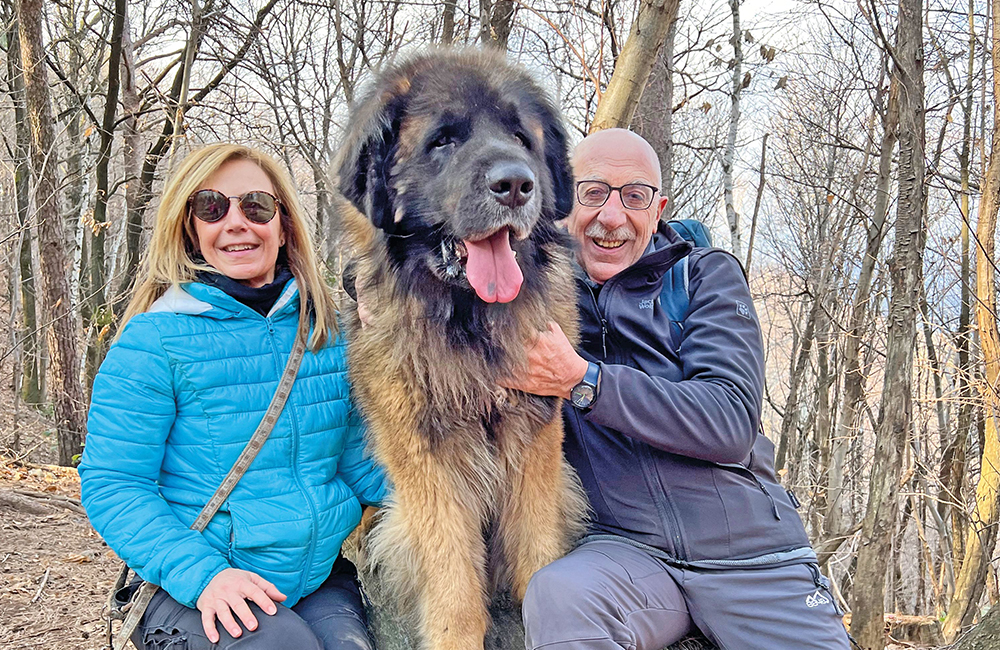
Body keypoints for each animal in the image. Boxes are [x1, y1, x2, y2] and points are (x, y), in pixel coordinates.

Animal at [336, 50, 584, 648]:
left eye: (521, 138)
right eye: (443, 140)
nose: (515, 184)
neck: (467, 324)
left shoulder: (536, 432)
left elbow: (537, 548)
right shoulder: (424, 453)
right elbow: (451, 574)